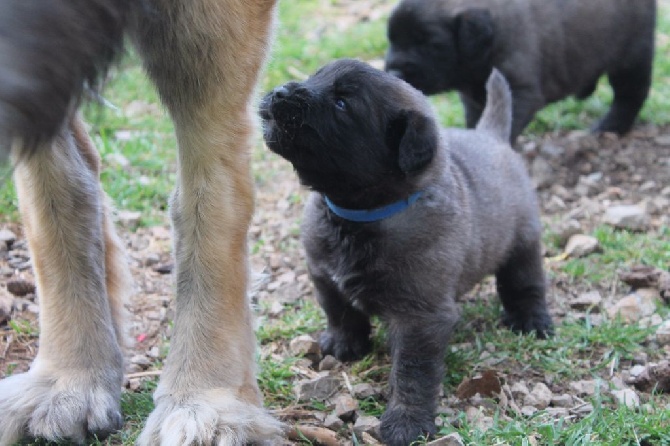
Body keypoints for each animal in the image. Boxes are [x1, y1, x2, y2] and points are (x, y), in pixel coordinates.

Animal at [260, 60, 552, 446]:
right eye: (314, 78)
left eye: (342, 103)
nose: (280, 92)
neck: (358, 217)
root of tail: (491, 137)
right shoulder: (324, 275)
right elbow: (339, 312)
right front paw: (344, 344)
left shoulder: (420, 317)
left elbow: (412, 373)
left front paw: (406, 421)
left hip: (522, 245)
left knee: (525, 283)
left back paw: (532, 320)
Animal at [386, 0, 660, 141]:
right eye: (391, 40)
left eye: (431, 44)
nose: (396, 73)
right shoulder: (473, 100)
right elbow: (477, 120)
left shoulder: (520, 92)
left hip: (631, 57)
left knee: (630, 95)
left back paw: (610, 126)